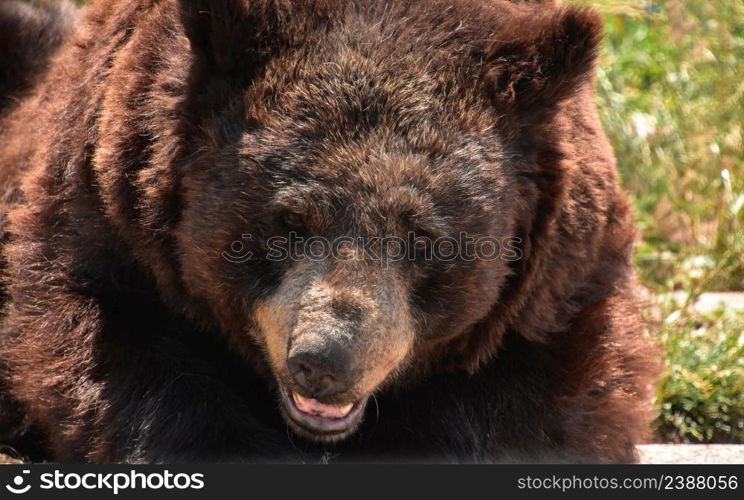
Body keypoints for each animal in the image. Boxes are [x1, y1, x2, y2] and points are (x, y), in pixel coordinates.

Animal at [0, 0, 660, 462]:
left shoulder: (554, 288)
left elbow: (542, 398)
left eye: (423, 237)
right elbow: (118, 359)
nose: (325, 361)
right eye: (290, 219)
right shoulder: (113, 226)